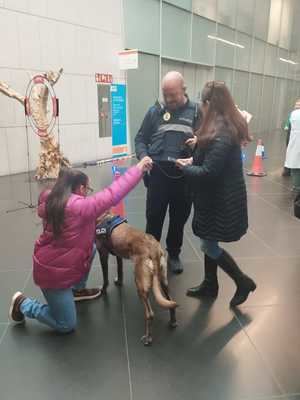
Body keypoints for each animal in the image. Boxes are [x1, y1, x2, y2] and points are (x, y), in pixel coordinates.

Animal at [95, 211, 177, 346]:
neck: (104, 216)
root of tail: (153, 249)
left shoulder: (102, 253)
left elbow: (105, 278)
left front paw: (103, 290)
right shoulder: (118, 254)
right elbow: (120, 270)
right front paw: (119, 281)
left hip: (140, 285)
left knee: (150, 314)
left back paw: (148, 338)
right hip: (164, 281)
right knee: (171, 301)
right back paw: (173, 322)